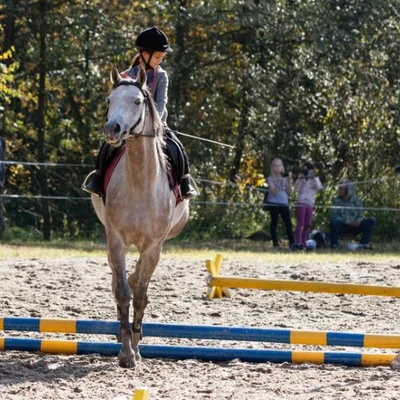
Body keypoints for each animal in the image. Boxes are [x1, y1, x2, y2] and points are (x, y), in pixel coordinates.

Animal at [92, 65, 189, 368]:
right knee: (118, 280)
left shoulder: (153, 247)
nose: (112, 129)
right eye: (109, 101)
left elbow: (141, 296)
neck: (139, 181)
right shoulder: (116, 240)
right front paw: (125, 352)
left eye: (137, 101)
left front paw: (135, 347)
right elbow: (123, 292)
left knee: (135, 281)